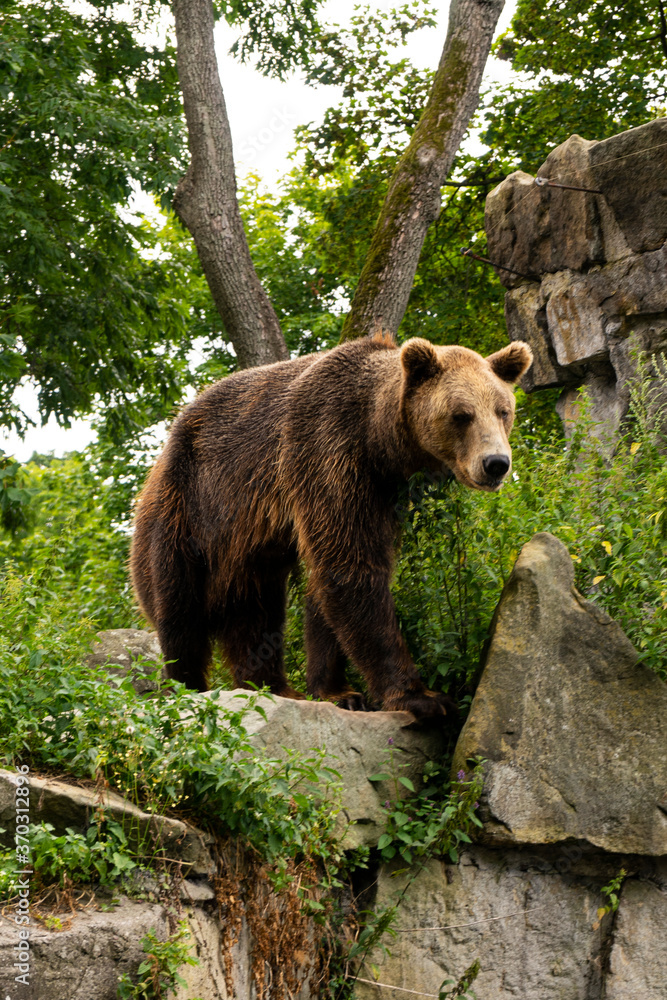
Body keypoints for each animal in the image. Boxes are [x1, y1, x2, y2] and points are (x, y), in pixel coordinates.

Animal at [130, 334, 532, 719]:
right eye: (461, 414)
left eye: (503, 411)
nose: (496, 463)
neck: (379, 441)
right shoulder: (327, 453)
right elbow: (350, 569)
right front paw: (423, 697)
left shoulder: (384, 495)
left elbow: (330, 583)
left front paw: (339, 692)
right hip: (186, 505)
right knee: (179, 608)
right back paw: (186, 686)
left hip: (244, 544)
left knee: (254, 608)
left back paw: (273, 687)